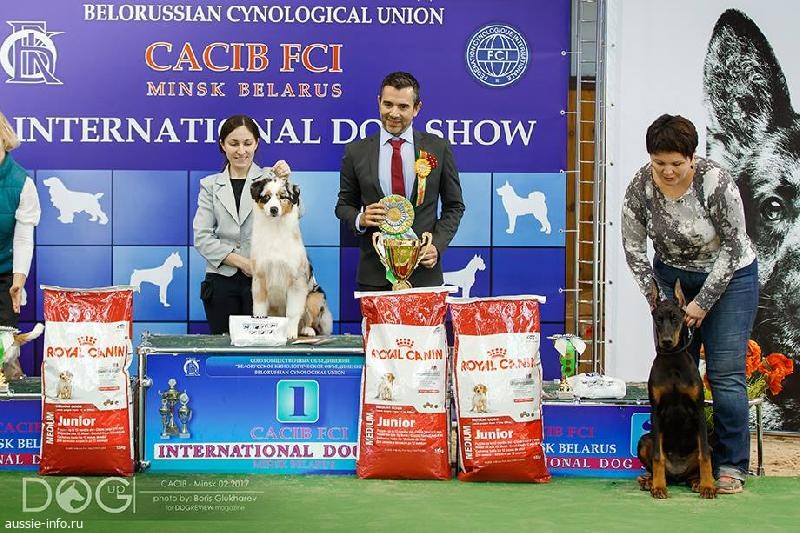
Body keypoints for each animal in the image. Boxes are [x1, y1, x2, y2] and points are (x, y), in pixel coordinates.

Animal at [249, 172, 333, 340]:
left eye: (283, 197)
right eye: (266, 197)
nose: (274, 209)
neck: (275, 229)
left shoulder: (296, 280)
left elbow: (293, 312)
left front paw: (290, 333)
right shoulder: (260, 277)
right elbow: (259, 309)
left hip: (316, 297)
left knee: (310, 321)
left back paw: (307, 330)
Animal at [636, 280, 716, 499]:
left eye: (676, 318)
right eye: (658, 319)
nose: (666, 341)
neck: (672, 361)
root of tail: (678, 474)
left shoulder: (699, 411)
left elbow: (704, 457)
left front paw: (708, 487)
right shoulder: (656, 411)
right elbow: (658, 456)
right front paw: (658, 487)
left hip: (708, 446)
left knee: (699, 462)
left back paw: (698, 482)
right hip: (644, 440)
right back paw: (650, 481)